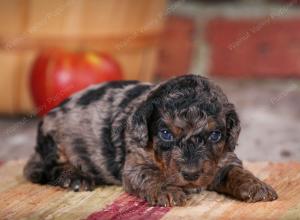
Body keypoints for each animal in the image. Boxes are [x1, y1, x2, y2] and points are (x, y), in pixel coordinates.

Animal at [24, 74, 278, 206]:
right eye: (165, 134)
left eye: (215, 135)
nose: (191, 174)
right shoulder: (135, 165)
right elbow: (151, 175)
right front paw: (168, 191)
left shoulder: (225, 158)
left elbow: (237, 171)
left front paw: (256, 186)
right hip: (52, 142)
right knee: (38, 169)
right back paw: (75, 177)